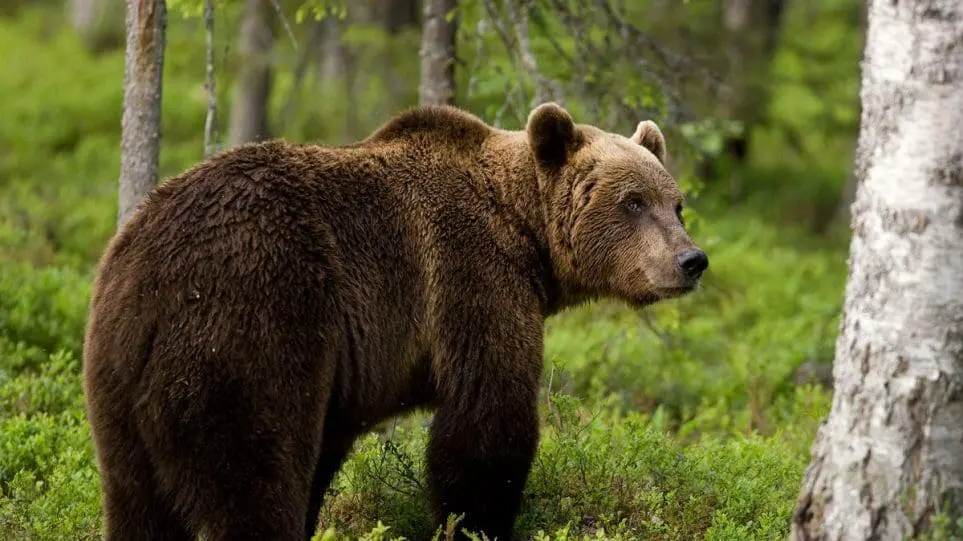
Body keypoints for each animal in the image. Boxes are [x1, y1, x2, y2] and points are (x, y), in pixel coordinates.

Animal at [83, 102, 708, 540]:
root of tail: (147, 273)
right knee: (253, 480)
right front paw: (477, 523)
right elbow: (487, 421)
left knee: (137, 502)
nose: (691, 260)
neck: (524, 233)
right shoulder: (471, 278)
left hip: (119, 385)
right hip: (248, 330)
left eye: (675, 203)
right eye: (632, 202)